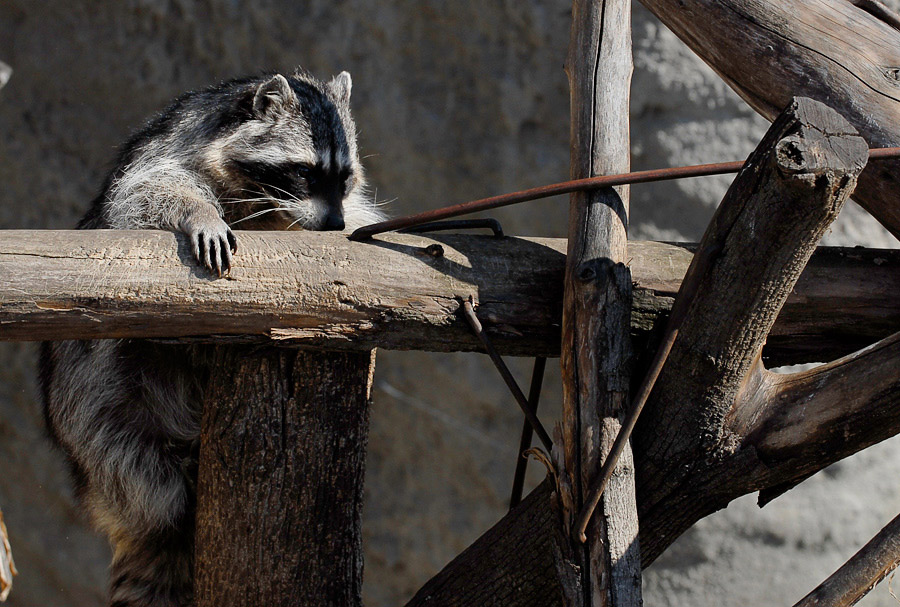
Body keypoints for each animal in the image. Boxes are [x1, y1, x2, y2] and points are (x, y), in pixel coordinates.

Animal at [39, 69, 384, 604]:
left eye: (344, 177)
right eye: (305, 173)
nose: (333, 225)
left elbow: (365, 220)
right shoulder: (168, 149)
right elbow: (146, 193)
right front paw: (198, 213)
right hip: (91, 408)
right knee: (138, 466)